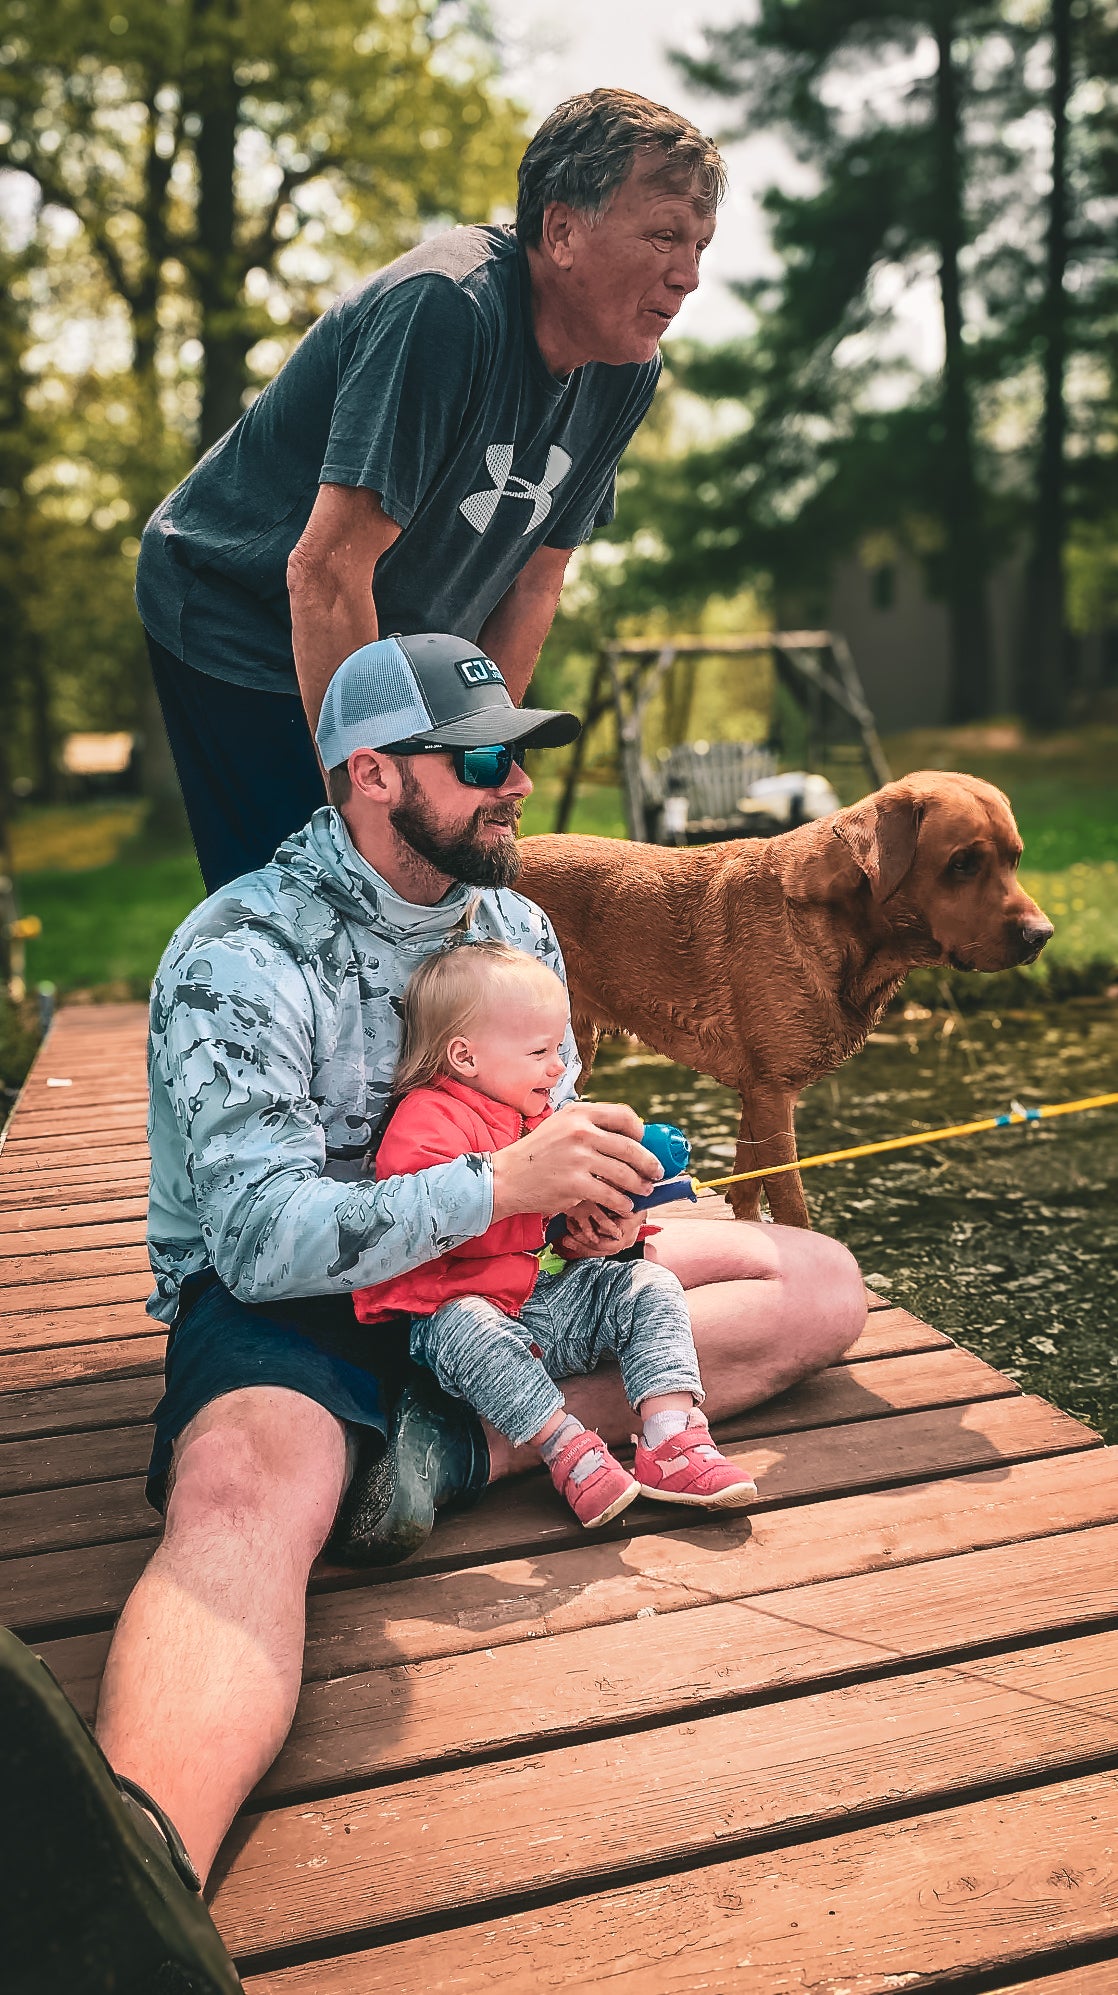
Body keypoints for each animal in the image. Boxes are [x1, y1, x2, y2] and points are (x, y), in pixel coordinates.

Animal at [519, 770, 1054, 1220]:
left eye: (1016, 860)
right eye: (962, 864)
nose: (1042, 935)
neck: (843, 931)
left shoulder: (759, 1091)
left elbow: (746, 1188)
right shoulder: (774, 1095)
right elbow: (791, 1204)